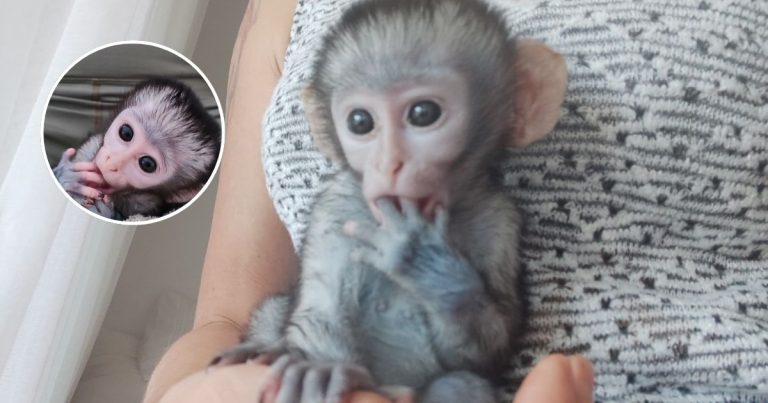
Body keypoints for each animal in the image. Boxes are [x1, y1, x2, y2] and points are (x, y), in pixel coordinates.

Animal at [212, 0, 567, 402]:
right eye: (360, 122)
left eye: (423, 113)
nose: (388, 164)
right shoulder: (337, 207)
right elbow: (320, 310)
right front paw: (321, 366)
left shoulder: (500, 221)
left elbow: (485, 352)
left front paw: (425, 261)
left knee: (462, 384)